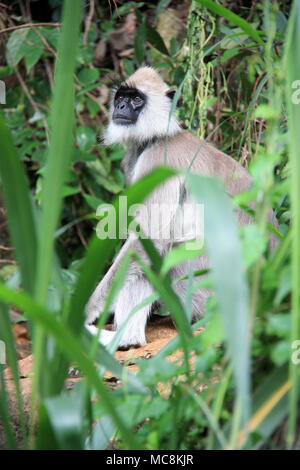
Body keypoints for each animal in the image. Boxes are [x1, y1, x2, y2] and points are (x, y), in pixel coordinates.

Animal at [84, 66, 276, 348]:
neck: (158, 137)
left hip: (204, 278)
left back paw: (123, 339)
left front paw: (85, 311)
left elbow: (150, 238)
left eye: (136, 99)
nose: (120, 106)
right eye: (121, 97)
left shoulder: (158, 160)